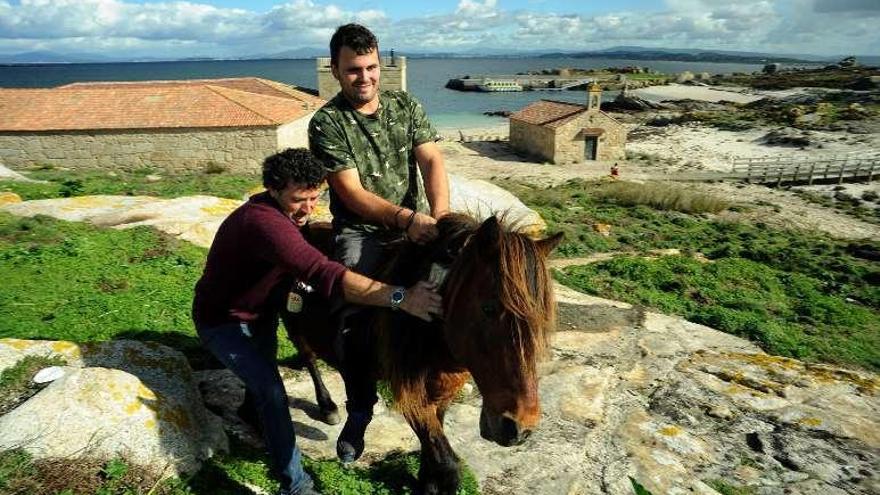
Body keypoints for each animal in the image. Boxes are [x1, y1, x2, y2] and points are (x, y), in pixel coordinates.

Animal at [288, 213, 564, 495]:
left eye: (542, 317)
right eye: (489, 308)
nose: (519, 428)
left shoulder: (442, 390)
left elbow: (434, 440)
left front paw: (426, 480)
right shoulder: (409, 392)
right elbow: (447, 462)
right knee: (310, 358)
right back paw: (327, 406)